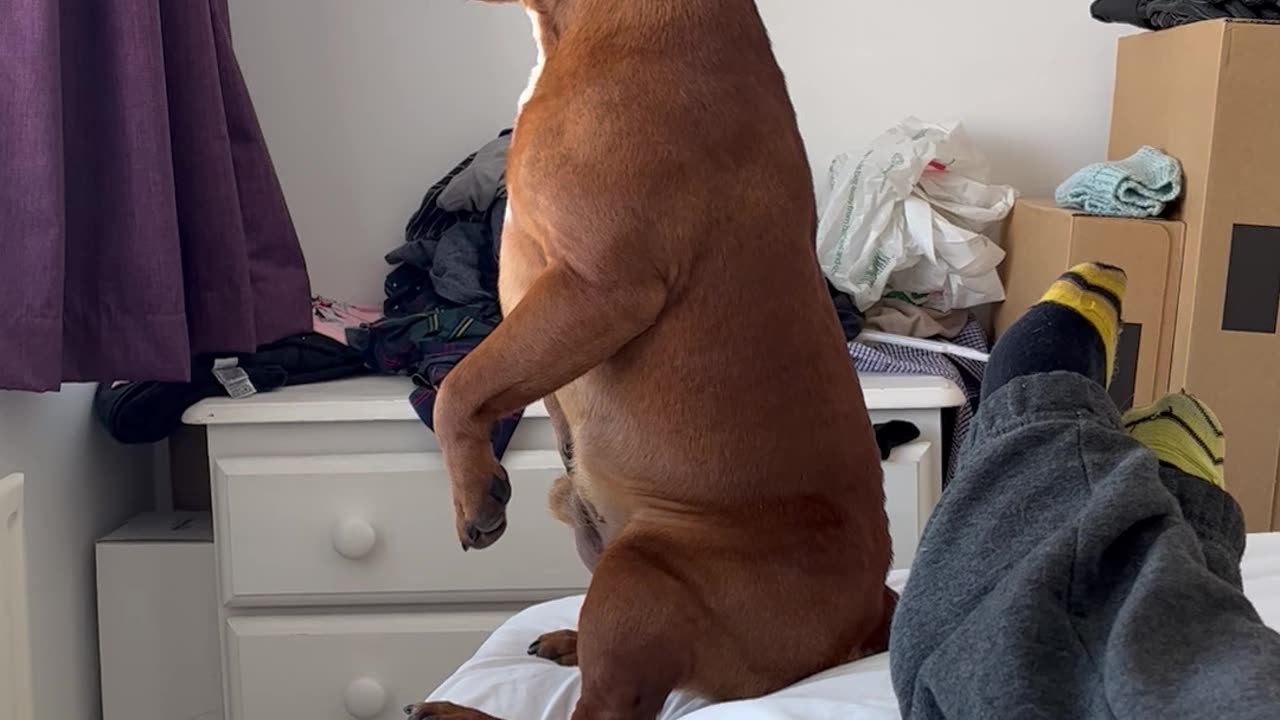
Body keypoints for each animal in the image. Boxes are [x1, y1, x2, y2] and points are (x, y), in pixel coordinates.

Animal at [414, 2, 896, 712]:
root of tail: (870, 615)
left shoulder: (599, 286)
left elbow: (459, 385)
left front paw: (473, 493)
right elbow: (475, 382)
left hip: (636, 571)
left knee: (604, 707)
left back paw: (459, 711)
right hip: (583, 513)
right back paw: (567, 643)